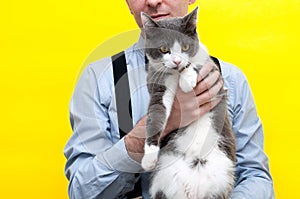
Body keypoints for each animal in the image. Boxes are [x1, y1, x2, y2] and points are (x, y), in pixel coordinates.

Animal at [141, 7, 237, 199]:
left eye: (185, 47)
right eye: (164, 49)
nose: (177, 61)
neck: (175, 73)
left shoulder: (211, 69)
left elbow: (195, 64)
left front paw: (187, 79)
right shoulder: (158, 84)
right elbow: (156, 115)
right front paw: (149, 156)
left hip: (223, 176)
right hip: (164, 178)